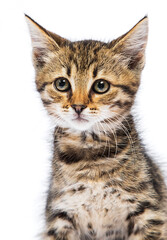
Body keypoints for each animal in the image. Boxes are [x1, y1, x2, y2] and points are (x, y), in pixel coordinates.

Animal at [25, 15, 167, 240]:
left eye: (101, 86)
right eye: (62, 84)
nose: (78, 106)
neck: (90, 155)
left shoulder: (150, 214)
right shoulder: (59, 217)